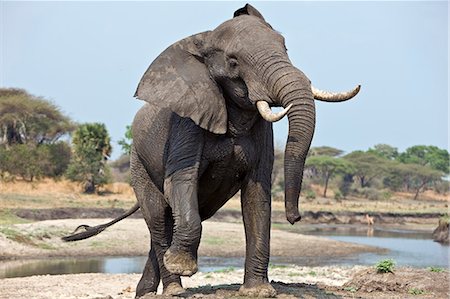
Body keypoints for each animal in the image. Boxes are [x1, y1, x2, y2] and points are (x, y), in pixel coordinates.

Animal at [63, 3, 360, 298]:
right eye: (233, 62)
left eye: (285, 47)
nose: (295, 217)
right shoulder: (187, 121)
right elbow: (182, 180)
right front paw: (182, 265)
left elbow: (257, 194)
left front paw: (258, 291)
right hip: (139, 162)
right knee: (158, 217)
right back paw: (172, 288)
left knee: (172, 220)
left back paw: (146, 292)